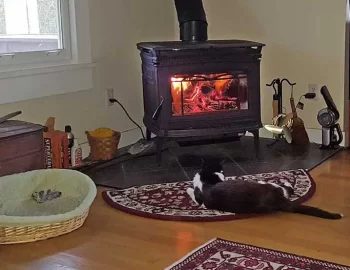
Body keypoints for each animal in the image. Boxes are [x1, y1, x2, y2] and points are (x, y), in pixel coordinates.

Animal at [187, 162, 344, 219]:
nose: (224, 174)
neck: (206, 179)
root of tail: (278, 200)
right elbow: (192, 192)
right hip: (268, 185)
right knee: (287, 189)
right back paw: (286, 181)